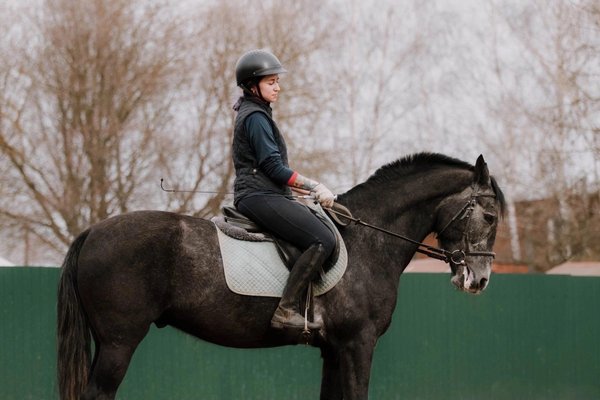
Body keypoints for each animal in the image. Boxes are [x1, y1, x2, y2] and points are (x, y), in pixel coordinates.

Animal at [57, 152, 506, 398]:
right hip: (119, 342)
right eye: (489, 215)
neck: (369, 236)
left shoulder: (334, 349)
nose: (480, 280)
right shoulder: (357, 343)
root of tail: (93, 231)